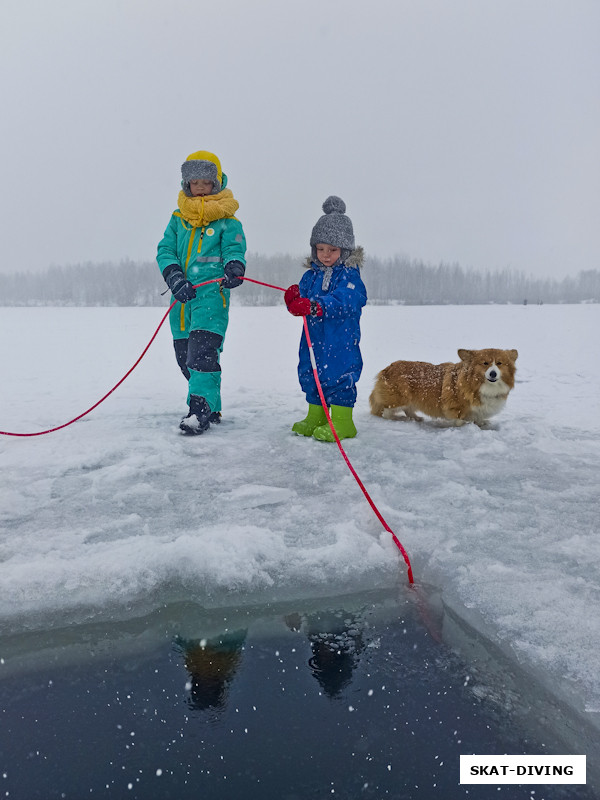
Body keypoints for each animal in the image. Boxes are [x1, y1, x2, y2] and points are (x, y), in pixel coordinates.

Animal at [368, 346, 516, 428]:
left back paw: (416, 418)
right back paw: (398, 419)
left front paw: (482, 424)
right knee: (387, 412)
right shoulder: (455, 407)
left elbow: (478, 418)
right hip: (400, 398)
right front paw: (464, 426)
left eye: (499, 363)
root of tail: (387, 369)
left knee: (408, 409)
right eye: (485, 363)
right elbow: (459, 420)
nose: (493, 373)